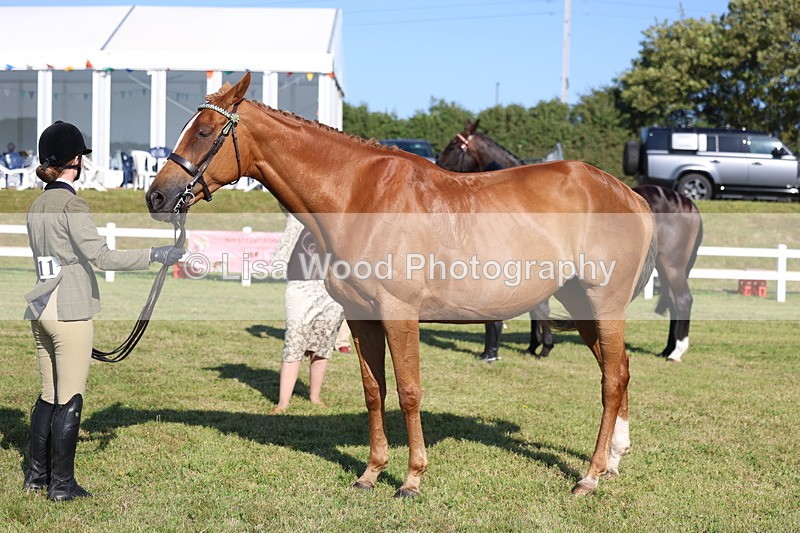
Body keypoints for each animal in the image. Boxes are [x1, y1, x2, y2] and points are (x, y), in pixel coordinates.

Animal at [146, 72, 657, 497]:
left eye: (205, 132)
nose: (157, 196)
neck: (358, 194)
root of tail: (628, 194)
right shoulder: (361, 318)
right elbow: (376, 392)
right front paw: (371, 474)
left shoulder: (399, 314)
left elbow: (410, 392)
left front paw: (411, 479)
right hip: (582, 306)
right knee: (621, 371)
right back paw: (613, 460)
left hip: (605, 305)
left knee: (612, 381)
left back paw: (589, 477)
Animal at [438, 120, 703, 361]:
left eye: (453, 145)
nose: (438, 165)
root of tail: (687, 203)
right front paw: (534, 345)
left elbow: (538, 308)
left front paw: (542, 347)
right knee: (674, 302)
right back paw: (667, 349)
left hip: (671, 266)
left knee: (683, 300)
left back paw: (676, 351)